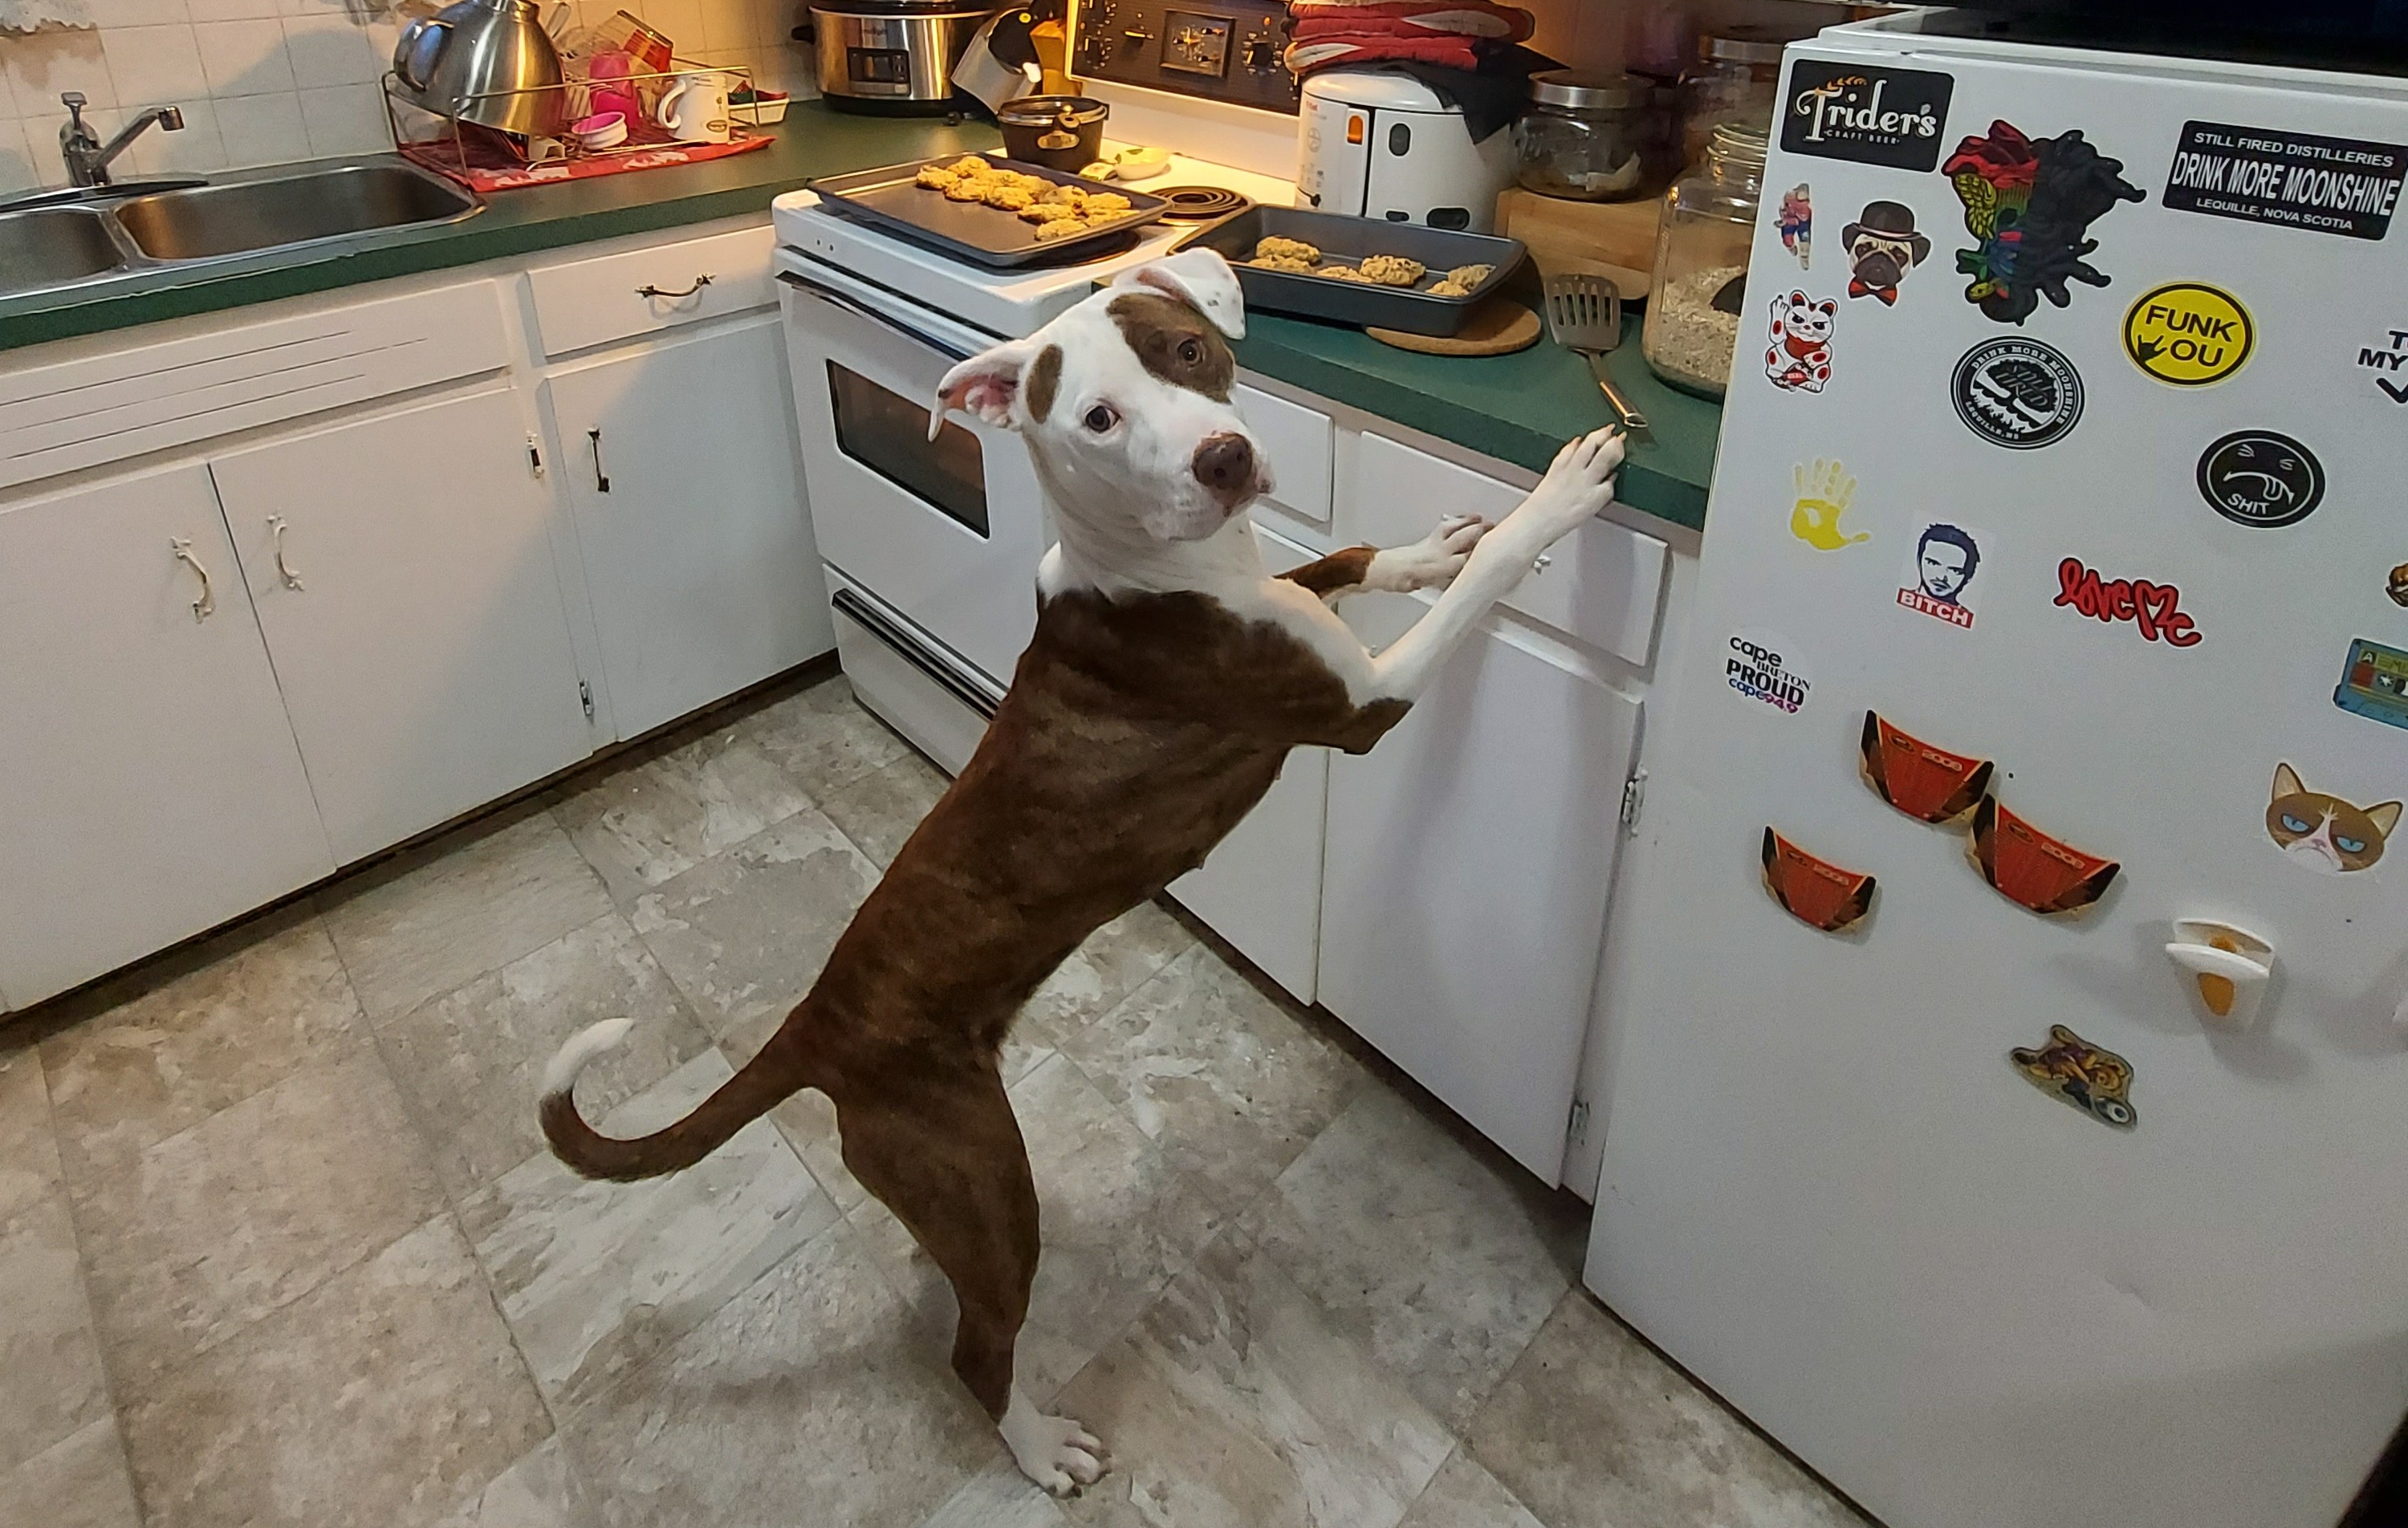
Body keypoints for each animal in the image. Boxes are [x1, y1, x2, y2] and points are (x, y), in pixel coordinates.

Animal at [539, 248, 1625, 1494]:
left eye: (1190, 353)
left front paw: (1426, 547)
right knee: (979, 1348)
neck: (1155, 564)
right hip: (982, 1171)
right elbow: (1483, 578)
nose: (1226, 458)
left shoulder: (1290, 590)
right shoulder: (1361, 706)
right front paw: (1558, 495)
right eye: (1100, 420)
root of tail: (815, 1024)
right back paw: (1039, 1444)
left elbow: (1346, 555)